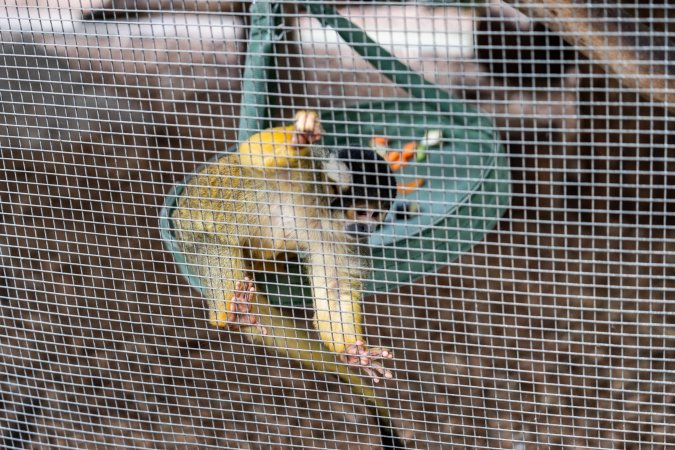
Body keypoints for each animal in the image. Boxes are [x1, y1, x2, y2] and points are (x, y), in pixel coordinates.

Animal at [171, 111, 397, 381]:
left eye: (375, 215)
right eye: (362, 212)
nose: (366, 229)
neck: (321, 215)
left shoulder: (341, 240)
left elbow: (334, 289)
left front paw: (352, 350)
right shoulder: (305, 176)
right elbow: (253, 152)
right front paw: (298, 138)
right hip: (191, 234)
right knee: (216, 248)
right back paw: (232, 314)